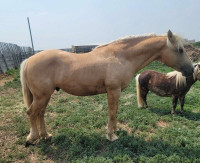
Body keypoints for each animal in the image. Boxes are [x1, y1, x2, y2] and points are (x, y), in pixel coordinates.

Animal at [20, 29, 194, 146]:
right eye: (180, 50)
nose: (191, 69)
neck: (121, 56)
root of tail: (28, 60)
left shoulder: (116, 92)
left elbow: (115, 112)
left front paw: (115, 130)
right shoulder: (113, 91)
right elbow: (111, 113)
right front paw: (111, 136)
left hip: (45, 96)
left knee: (40, 114)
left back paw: (46, 135)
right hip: (42, 96)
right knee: (31, 113)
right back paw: (32, 138)